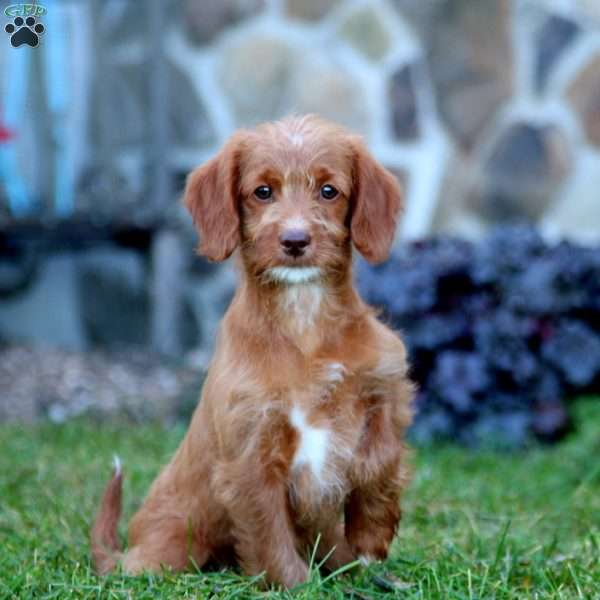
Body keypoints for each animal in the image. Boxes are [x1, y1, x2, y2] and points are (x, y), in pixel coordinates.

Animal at [91, 115, 414, 588]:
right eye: (262, 192)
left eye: (328, 191)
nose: (295, 240)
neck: (303, 317)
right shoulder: (250, 453)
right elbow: (269, 531)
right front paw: (296, 587)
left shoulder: (386, 380)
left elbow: (381, 456)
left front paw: (371, 532)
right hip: (168, 551)